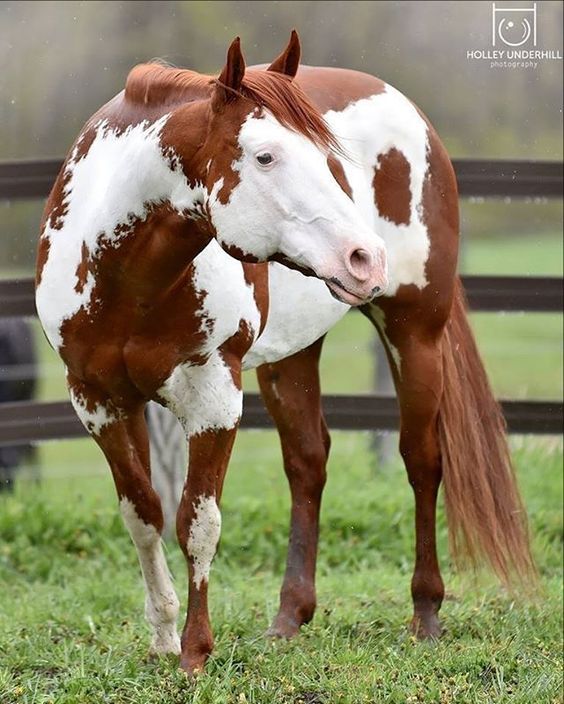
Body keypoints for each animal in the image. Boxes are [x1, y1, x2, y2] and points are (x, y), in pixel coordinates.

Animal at [35, 31, 532, 672]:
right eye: (265, 157)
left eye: (327, 158)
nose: (365, 258)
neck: (125, 278)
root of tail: (410, 111)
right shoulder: (98, 400)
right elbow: (143, 513)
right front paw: (163, 637)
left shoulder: (213, 397)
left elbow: (197, 520)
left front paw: (195, 653)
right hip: (290, 357)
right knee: (307, 465)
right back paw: (290, 616)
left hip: (415, 333)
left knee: (422, 461)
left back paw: (425, 614)